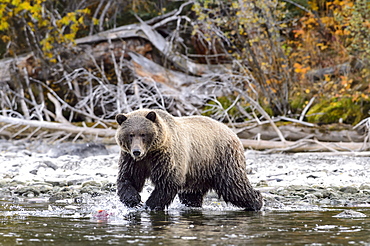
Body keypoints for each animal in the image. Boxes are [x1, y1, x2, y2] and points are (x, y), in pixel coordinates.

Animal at [115, 108, 264, 210]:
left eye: (143, 134)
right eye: (130, 134)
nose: (137, 151)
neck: (150, 152)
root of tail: (232, 132)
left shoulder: (166, 157)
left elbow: (167, 182)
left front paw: (150, 205)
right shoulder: (132, 160)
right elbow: (128, 178)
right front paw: (134, 200)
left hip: (222, 158)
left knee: (234, 185)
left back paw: (257, 202)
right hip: (199, 170)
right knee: (192, 194)